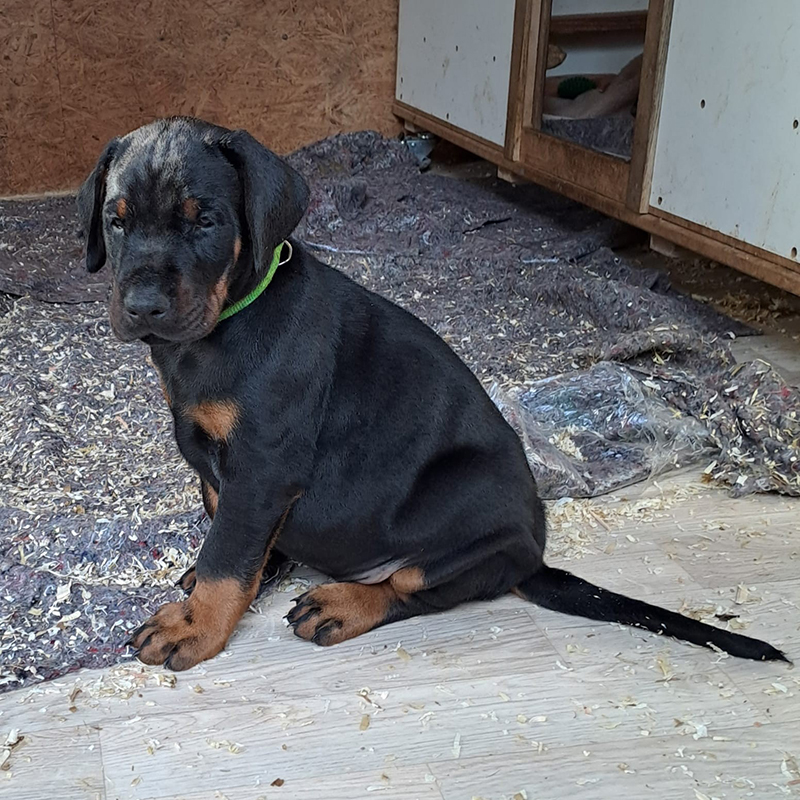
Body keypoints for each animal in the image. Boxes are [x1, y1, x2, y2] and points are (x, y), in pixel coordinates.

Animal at [77, 117, 788, 671]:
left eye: (206, 221)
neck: (225, 325)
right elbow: (229, 524)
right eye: (115, 221)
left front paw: (194, 624)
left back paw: (343, 604)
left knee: (415, 584)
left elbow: (230, 553)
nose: (142, 307)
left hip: (462, 501)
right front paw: (235, 574)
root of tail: (530, 556)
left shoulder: (263, 461)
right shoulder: (225, 465)